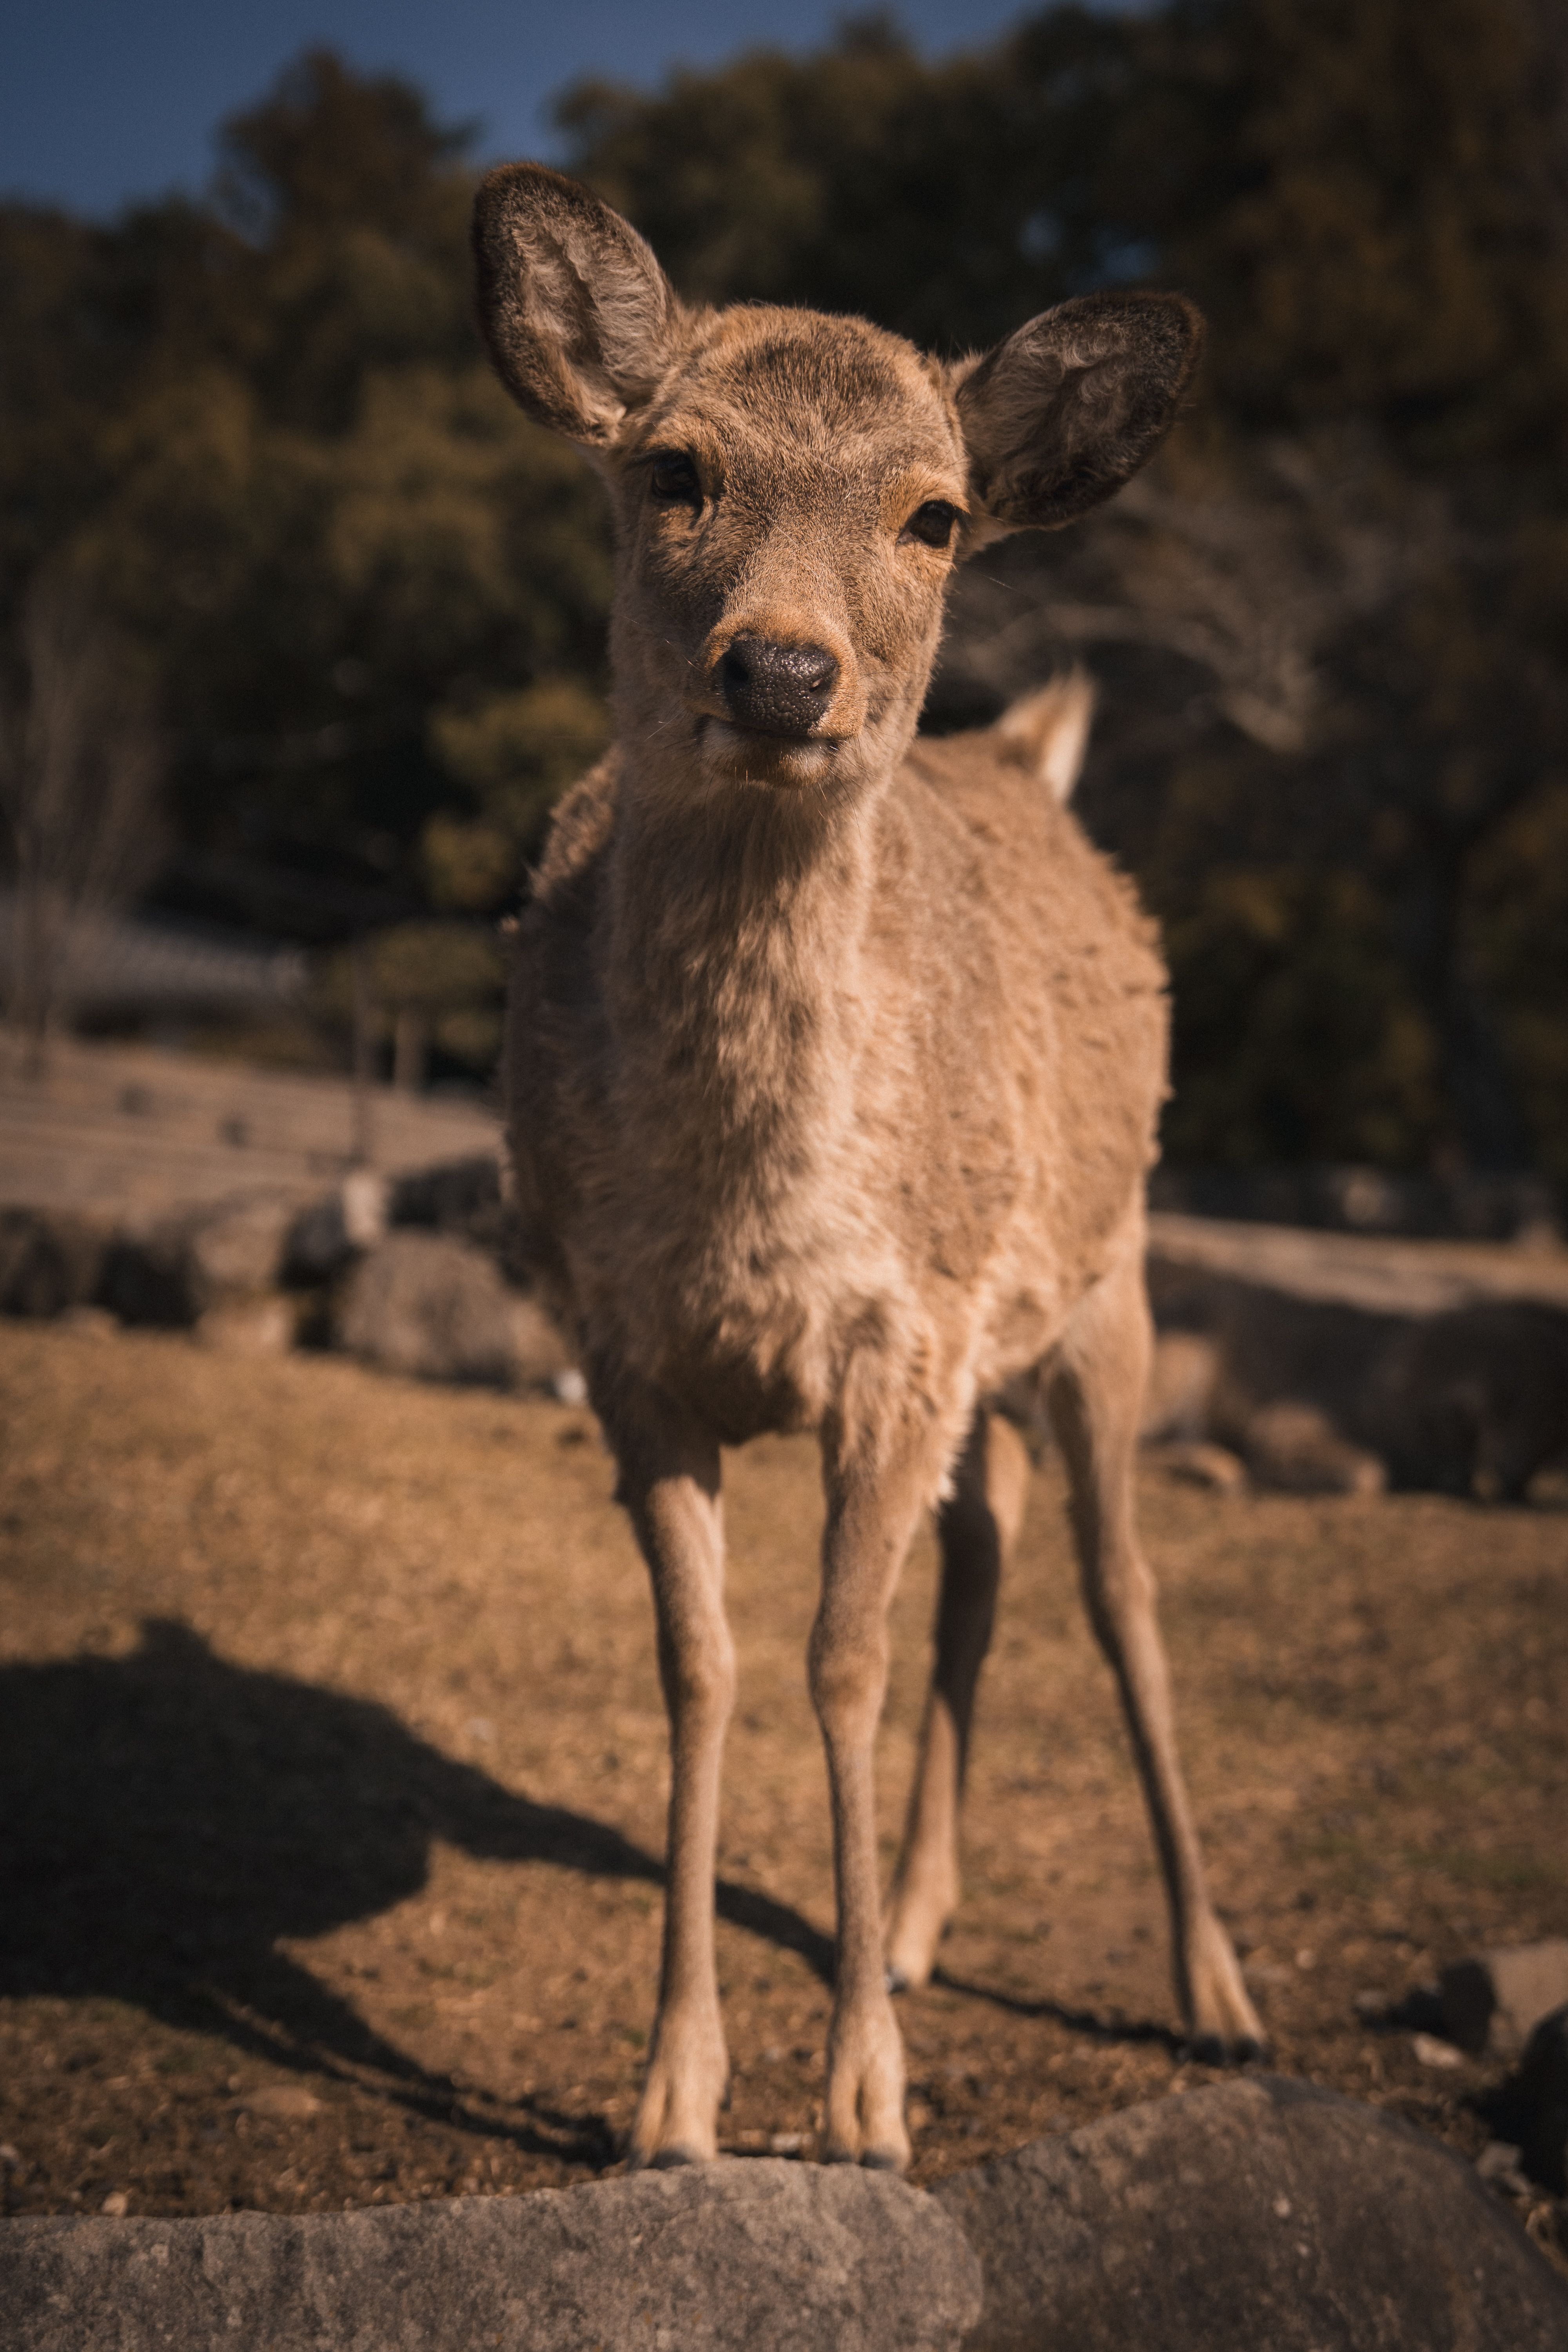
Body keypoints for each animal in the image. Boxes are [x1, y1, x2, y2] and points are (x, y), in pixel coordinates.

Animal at [472, 162, 1265, 2175]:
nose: (780, 668)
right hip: (991, 1346)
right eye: (670, 468)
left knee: (1122, 1592)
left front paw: (860, 2108)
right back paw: (909, 1925)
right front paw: (669, 2096)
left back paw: (1213, 1991)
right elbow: (701, 1664)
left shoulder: (895, 1343)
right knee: (987, 1549)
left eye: (933, 515)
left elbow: (842, 1653)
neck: (750, 1214)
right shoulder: (623, 1349)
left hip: (1104, 1282)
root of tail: (1031, 760)